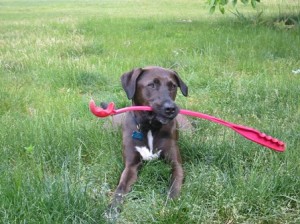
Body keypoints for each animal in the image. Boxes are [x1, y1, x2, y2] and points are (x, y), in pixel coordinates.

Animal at [107, 66, 188, 215]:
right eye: (151, 85)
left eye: (173, 86)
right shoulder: (131, 166)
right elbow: (121, 188)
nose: (171, 108)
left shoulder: (176, 164)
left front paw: (169, 206)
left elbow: (175, 185)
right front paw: (113, 208)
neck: (150, 127)